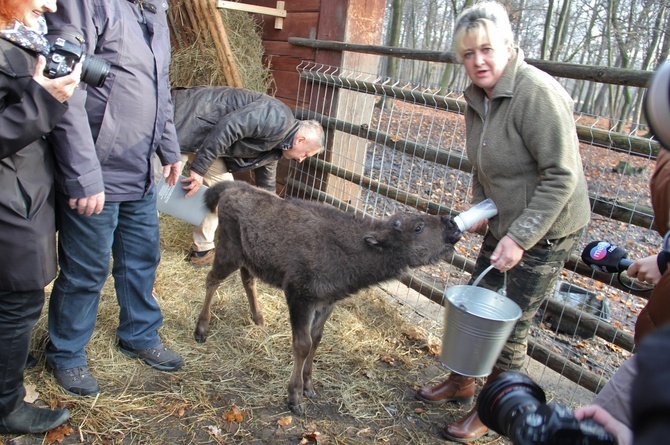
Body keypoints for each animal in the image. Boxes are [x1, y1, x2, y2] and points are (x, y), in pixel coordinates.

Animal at [194, 180, 462, 412]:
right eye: (418, 227)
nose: (452, 224)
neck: (353, 248)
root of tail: (231, 188)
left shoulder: (326, 302)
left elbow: (316, 339)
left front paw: (309, 387)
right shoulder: (299, 296)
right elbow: (302, 344)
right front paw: (295, 398)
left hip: (248, 258)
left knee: (247, 280)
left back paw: (258, 318)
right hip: (228, 252)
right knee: (212, 280)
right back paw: (201, 330)